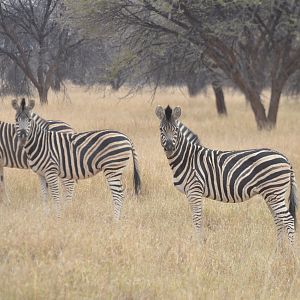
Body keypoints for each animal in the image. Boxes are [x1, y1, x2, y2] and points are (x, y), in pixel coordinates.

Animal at [10, 98, 139, 218]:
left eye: (29, 120)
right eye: (16, 119)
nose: (22, 138)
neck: (41, 142)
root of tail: (126, 137)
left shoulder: (51, 171)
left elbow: (56, 196)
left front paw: (58, 218)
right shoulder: (41, 174)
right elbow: (45, 196)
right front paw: (46, 216)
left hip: (112, 168)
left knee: (119, 195)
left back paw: (115, 220)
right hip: (115, 169)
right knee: (120, 194)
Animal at [156, 104, 296, 245]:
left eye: (175, 129)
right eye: (161, 129)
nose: (169, 147)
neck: (188, 158)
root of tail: (285, 158)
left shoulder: (195, 190)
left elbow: (197, 218)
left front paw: (199, 243)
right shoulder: (190, 193)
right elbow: (196, 217)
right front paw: (200, 241)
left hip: (274, 192)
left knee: (289, 219)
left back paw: (291, 249)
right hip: (270, 194)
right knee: (279, 219)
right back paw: (278, 248)